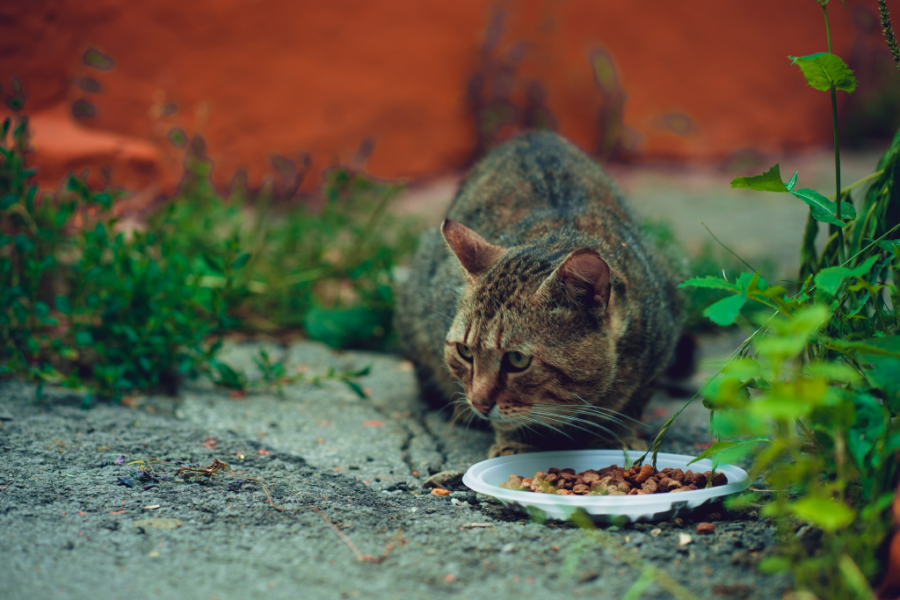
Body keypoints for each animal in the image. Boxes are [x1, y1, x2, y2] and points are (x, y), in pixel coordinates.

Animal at [396, 132, 684, 460]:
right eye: (465, 351)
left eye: (517, 360)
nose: (479, 404)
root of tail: (533, 135)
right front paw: (516, 445)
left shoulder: (662, 337)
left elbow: (629, 406)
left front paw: (615, 439)